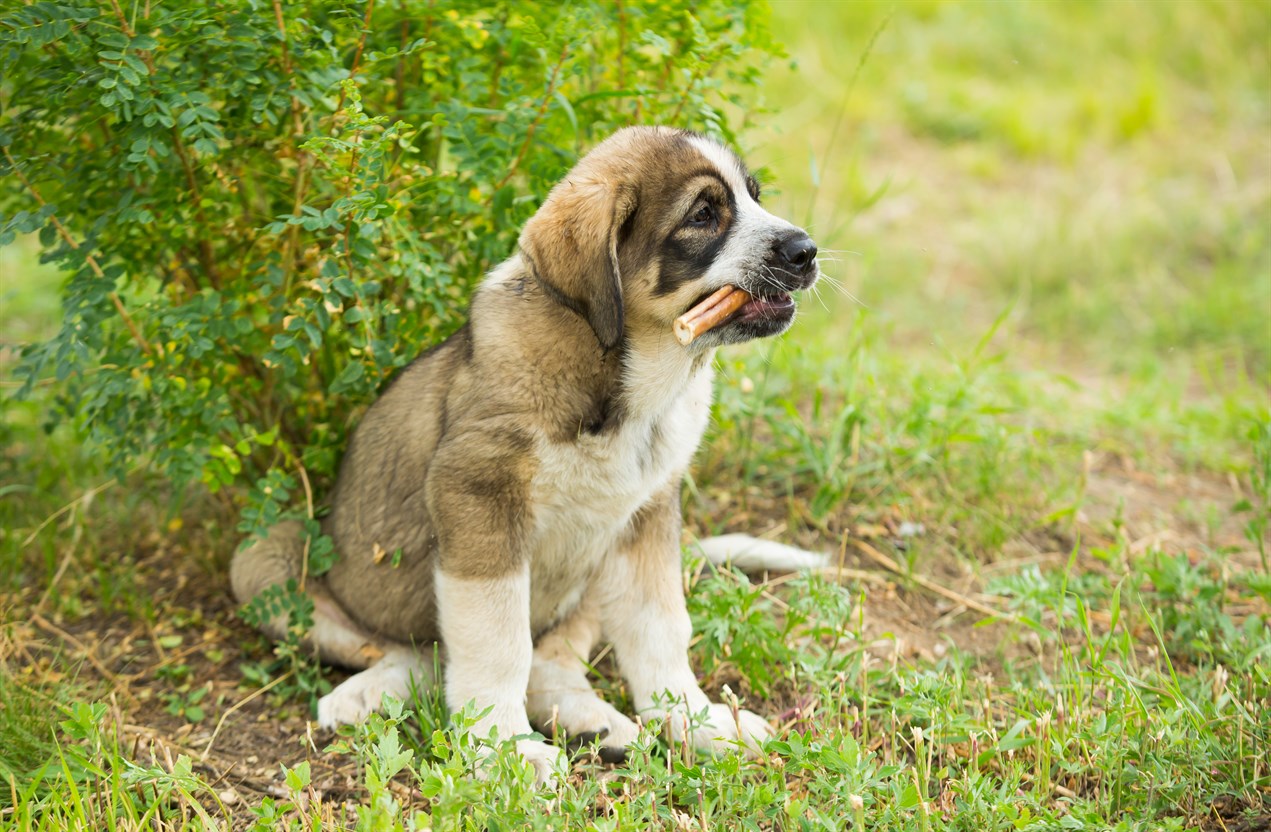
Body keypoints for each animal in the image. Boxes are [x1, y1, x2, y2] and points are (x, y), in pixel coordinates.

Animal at [232, 127, 818, 782]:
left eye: (754, 197)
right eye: (703, 215)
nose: (806, 251)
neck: (624, 381)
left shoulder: (647, 517)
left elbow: (661, 627)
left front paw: (697, 720)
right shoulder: (478, 499)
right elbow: (496, 640)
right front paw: (504, 749)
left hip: (591, 577)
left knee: (549, 655)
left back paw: (596, 722)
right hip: (263, 558)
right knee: (415, 650)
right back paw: (366, 694)